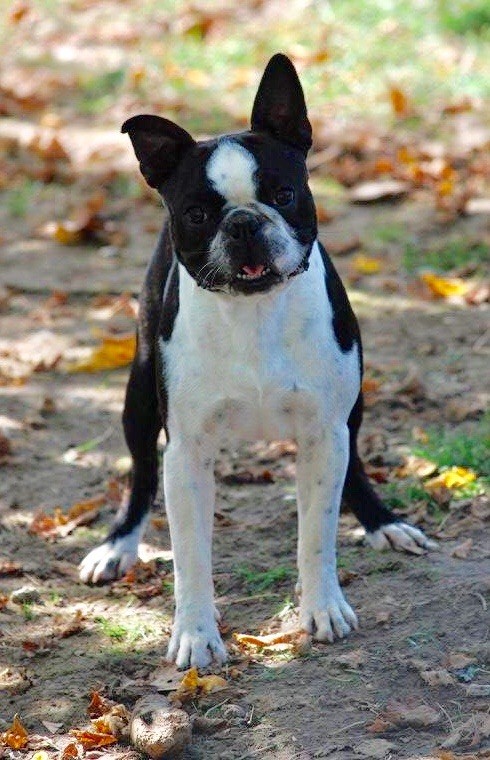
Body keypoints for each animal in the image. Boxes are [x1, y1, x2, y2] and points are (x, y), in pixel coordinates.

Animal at [79, 54, 435, 668]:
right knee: (141, 473)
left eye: (285, 194)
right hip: (139, 393)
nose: (244, 222)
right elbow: (191, 554)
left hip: (351, 411)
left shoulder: (323, 431)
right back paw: (116, 545)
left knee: (354, 466)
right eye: (198, 213)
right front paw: (196, 633)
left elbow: (316, 534)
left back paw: (383, 522)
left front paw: (322, 608)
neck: (255, 311)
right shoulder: (187, 453)